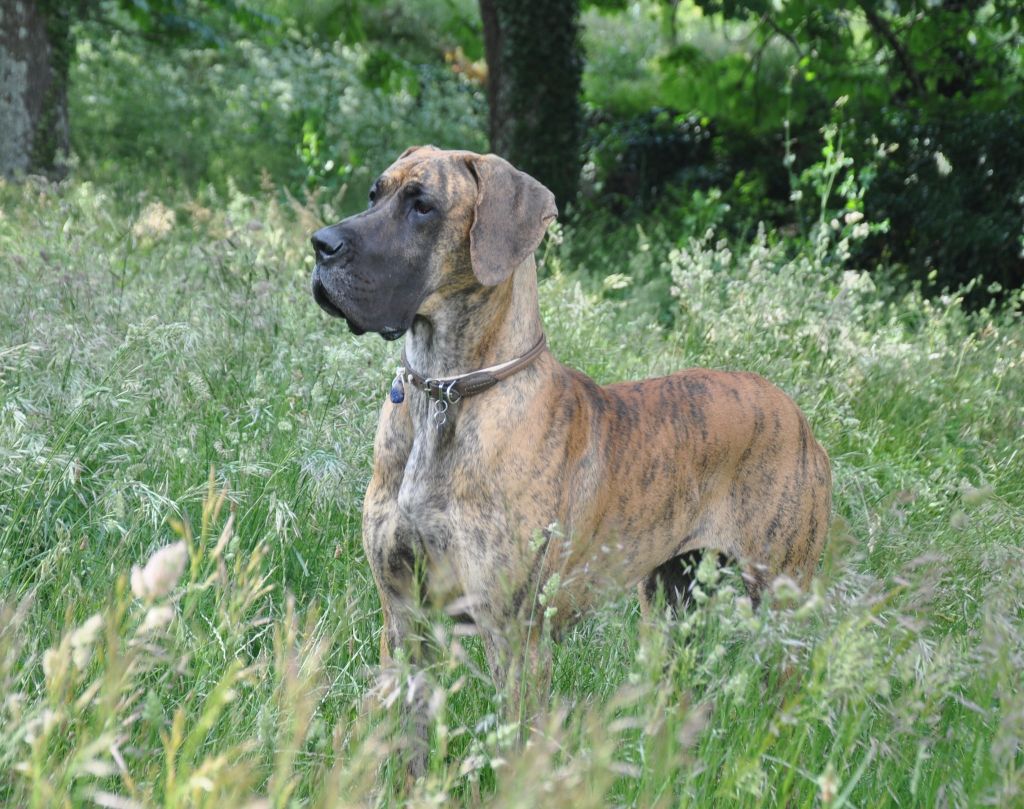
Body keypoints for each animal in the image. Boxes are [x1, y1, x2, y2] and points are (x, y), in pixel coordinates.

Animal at [311, 147, 831, 778]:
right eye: (374, 194)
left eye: (423, 206)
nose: (321, 244)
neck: (448, 391)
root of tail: (797, 415)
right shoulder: (404, 616)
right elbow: (407, 743)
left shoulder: (514, 639)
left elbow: (514, 755)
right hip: (669, 604)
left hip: (780, 601)